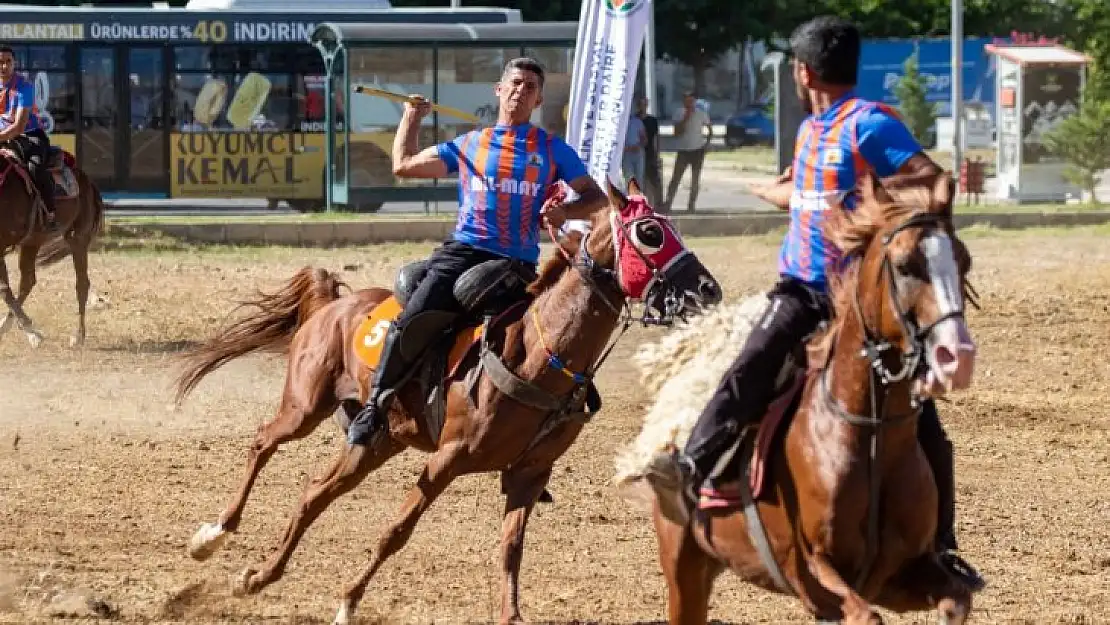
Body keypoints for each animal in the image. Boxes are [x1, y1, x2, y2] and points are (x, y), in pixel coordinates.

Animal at [0, 145, 104, 350]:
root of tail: (87, 181)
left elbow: (4, 287)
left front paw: (35, 334)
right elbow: (5, 288)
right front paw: (30, 332)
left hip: (78, 238)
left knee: (82, 284)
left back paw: (78, 336)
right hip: (32, 240)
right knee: (28, 281)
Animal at [173, 178, 723, 621]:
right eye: (649, 232)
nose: (707, 289)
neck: (541, 354)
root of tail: (335, 304)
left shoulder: (529, 474)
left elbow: (510, 550)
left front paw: (510, 615)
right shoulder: (447, 458)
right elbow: (397, 530)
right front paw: (347, 603)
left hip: (376, 443)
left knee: (314, 494)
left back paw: (259, 577)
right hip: (305, 408)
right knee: (263, 442)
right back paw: (213, 535)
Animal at [612, 172, 985, 625]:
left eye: (964, 262)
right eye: (905, 267)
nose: (957, 355)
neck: (868, 438)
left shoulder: (901, 576)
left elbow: (956, 599)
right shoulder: (812, 574)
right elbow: (864, 614)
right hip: (684, 566)